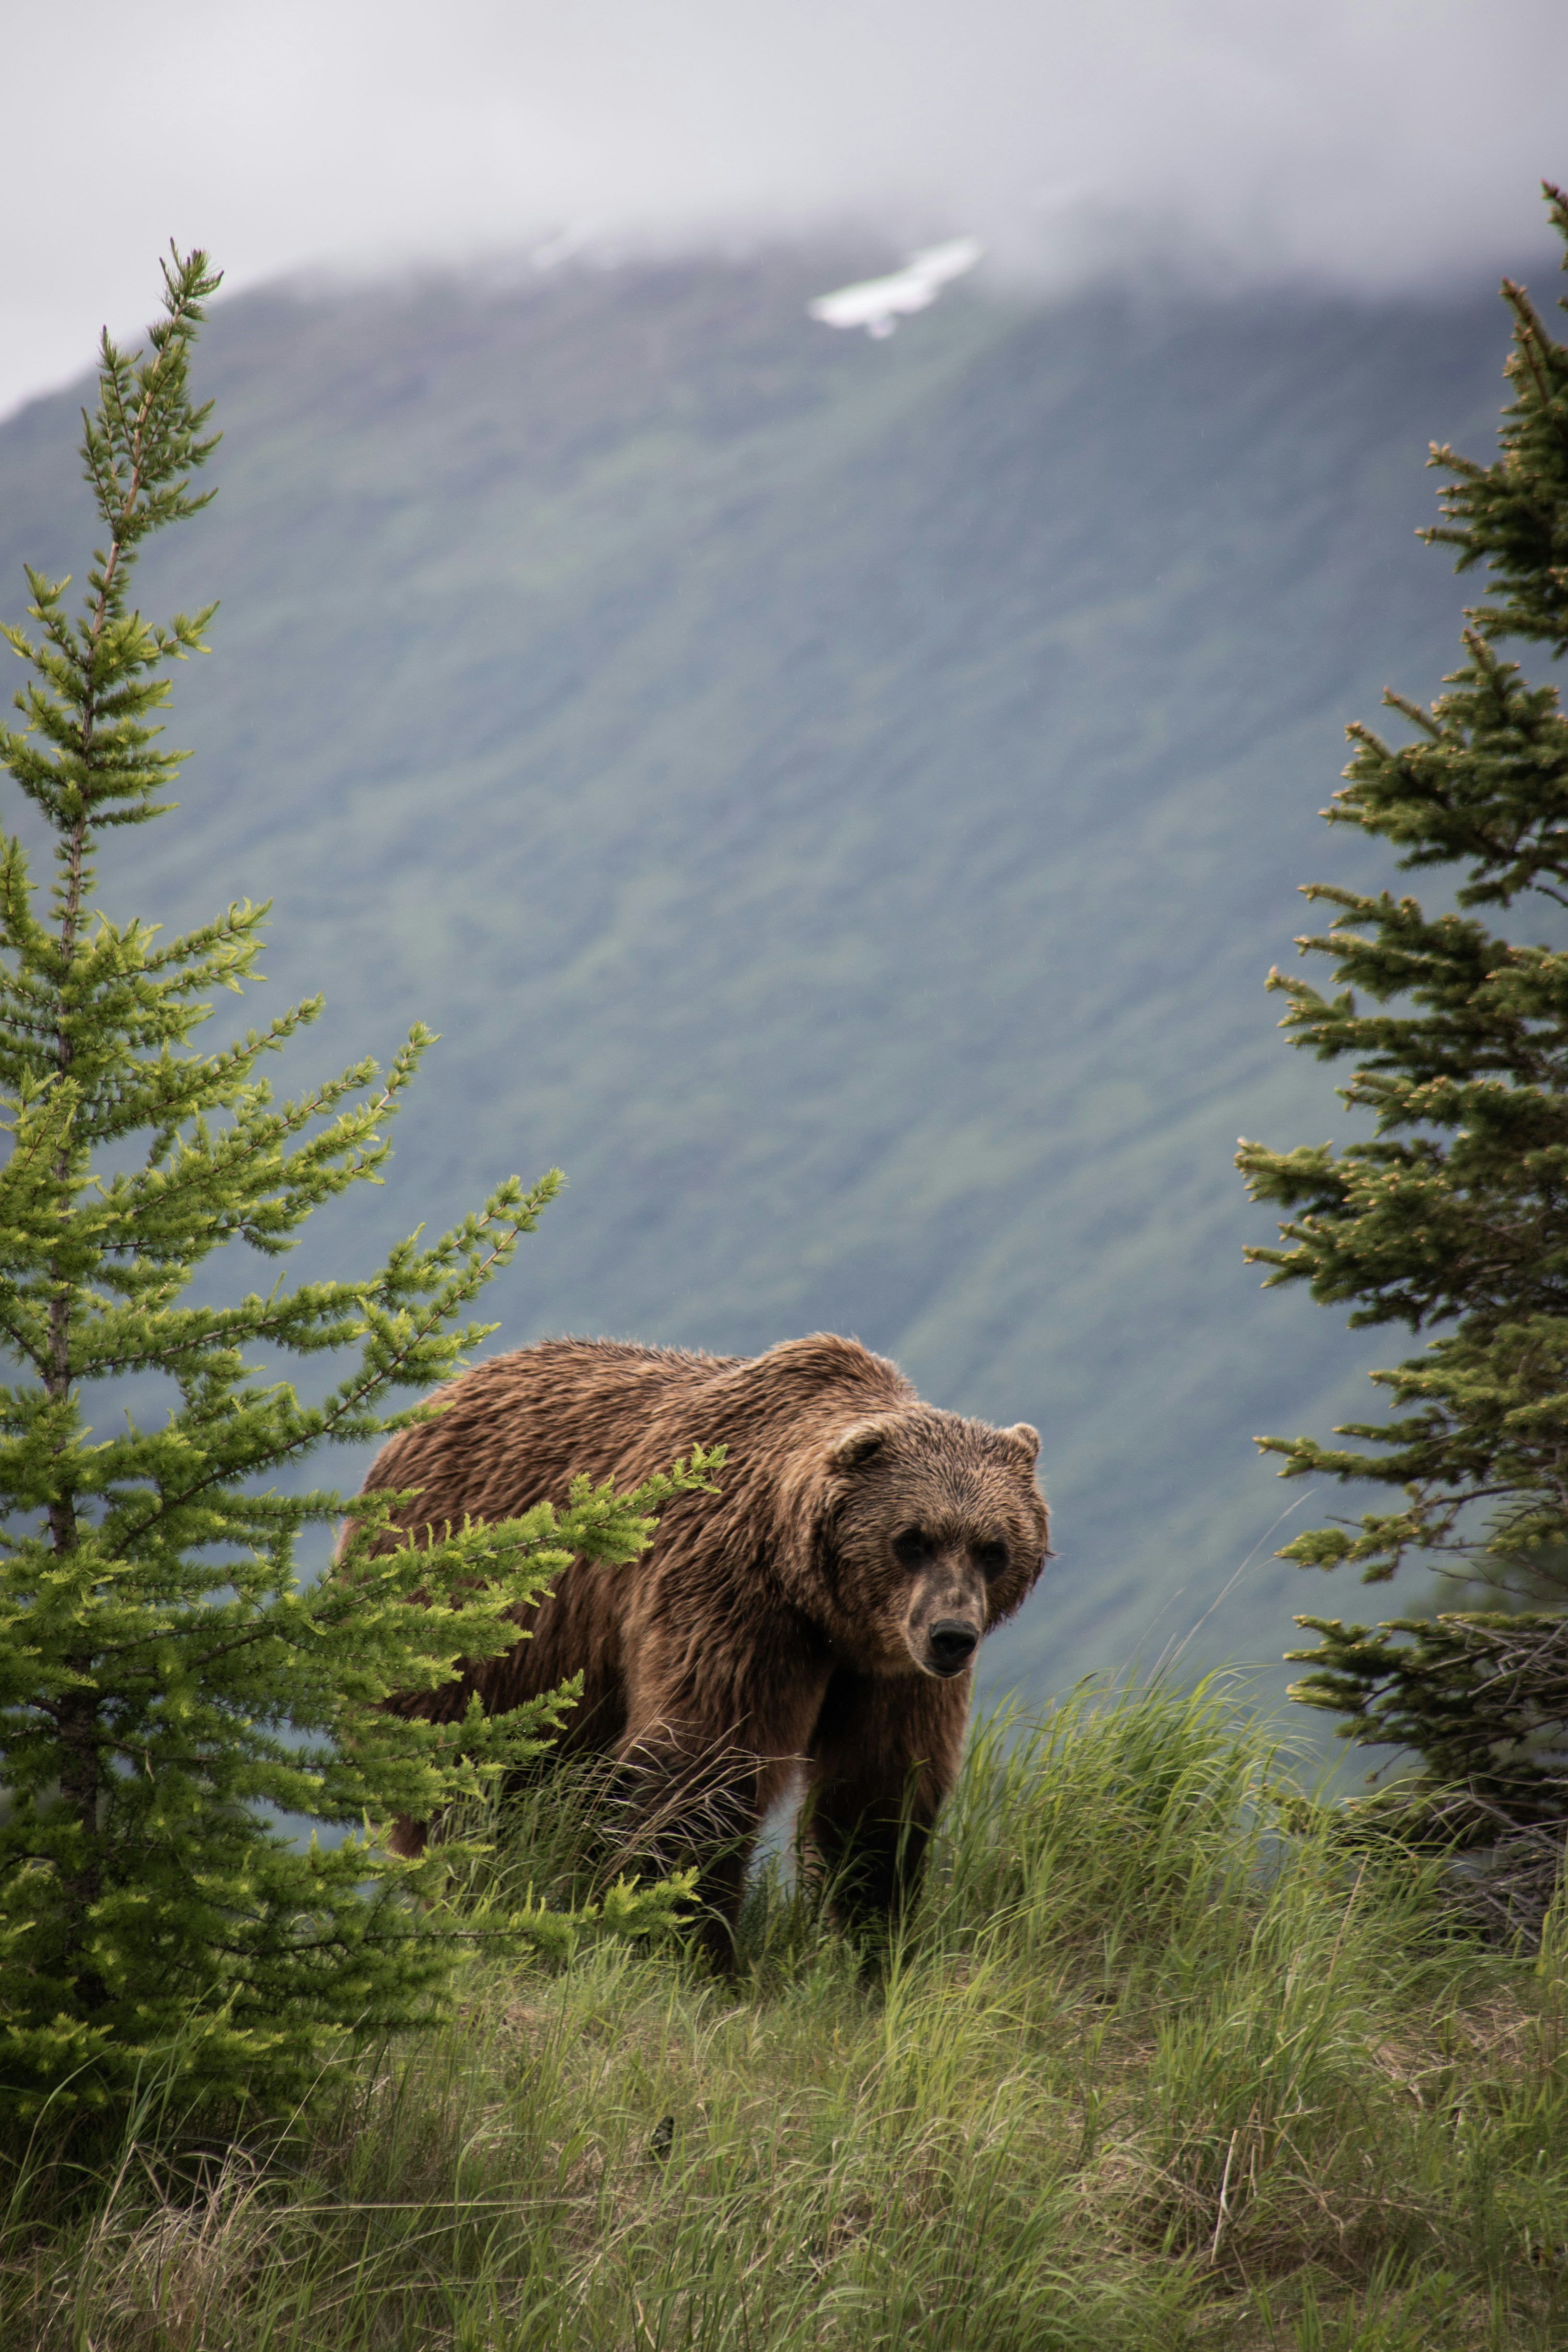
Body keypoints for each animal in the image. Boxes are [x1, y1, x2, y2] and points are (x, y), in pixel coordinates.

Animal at [356, 1332, 1050, 1966]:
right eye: (912, 1539)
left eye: (994, 1548)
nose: (952, 1636)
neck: (820, 1605)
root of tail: (434, 1402)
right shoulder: (731, 1600)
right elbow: (702, 1764)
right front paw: (688, 1947)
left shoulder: (888, 1669)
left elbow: (877, 1792)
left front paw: (872, 1945)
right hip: (472, 1630)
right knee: (467, 1783)